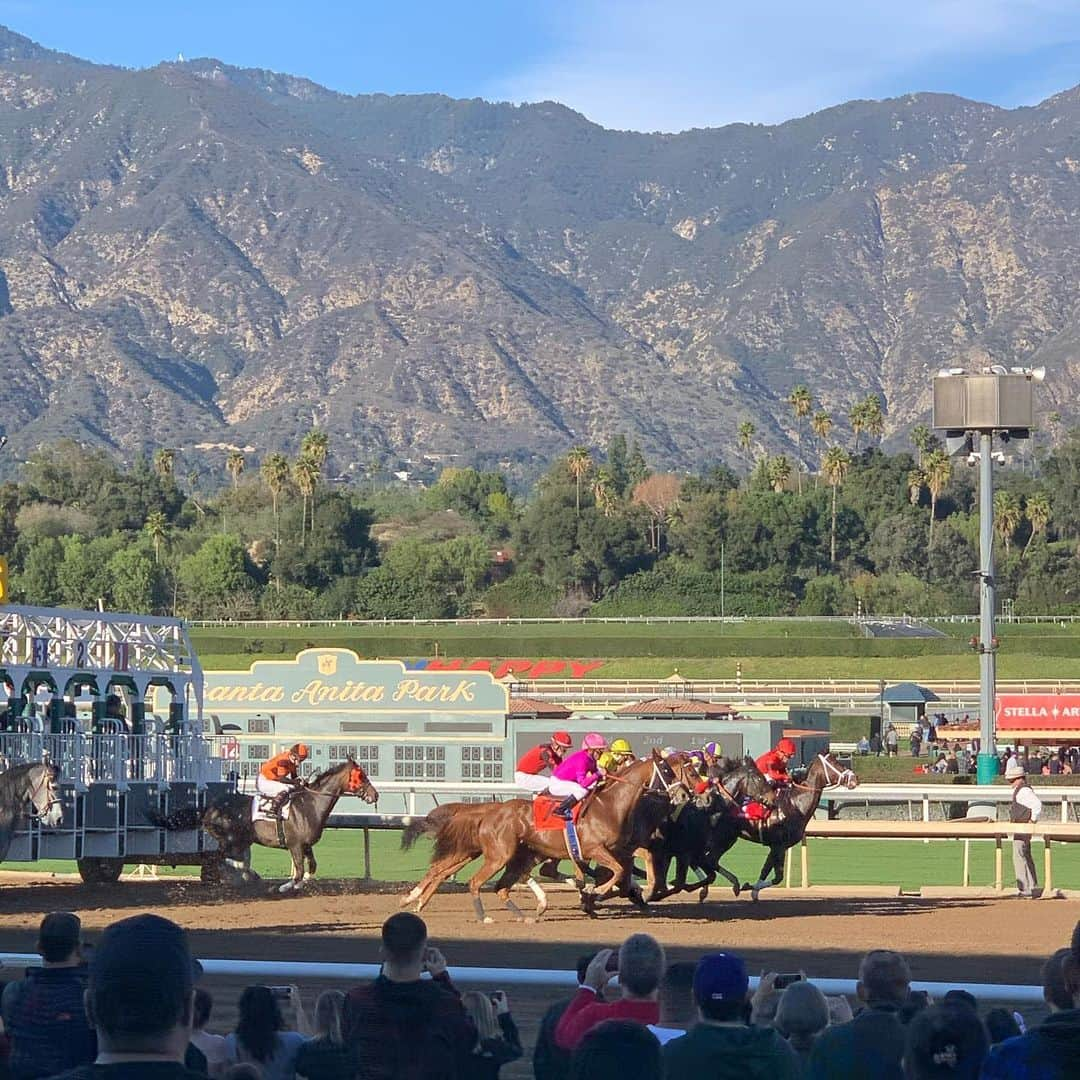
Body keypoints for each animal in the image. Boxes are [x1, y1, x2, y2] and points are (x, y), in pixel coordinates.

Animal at [147, 756, 375, 889]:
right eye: (361, 776)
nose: (376, 794)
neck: (310, 804)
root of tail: (209, 808)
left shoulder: (306, 845)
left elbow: (311, 867)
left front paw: (302, 883)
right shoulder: (294, 844)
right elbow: (299, 872)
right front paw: (284, 886)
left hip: (240, 840)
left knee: (224, 858)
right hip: (230, 838)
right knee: (217, 856)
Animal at [401, 751, 686, 920]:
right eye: (667, 771)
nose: (683, 793)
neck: (610, 805)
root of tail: (492, 810)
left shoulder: (620, 848)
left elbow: (626, 869)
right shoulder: (595, 849)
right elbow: (616, 871)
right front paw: (595, 890)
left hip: (509, 853)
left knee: (489, 881)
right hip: (498, 854)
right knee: (467, 878)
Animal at [738, 747, 855, 898]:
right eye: (834, 762)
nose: (854, 779)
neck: (794, 803)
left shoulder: (778, 846)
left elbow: (769, 872)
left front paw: (753, 890)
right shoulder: (778, 845)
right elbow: (776, 876)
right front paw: (746, 887)